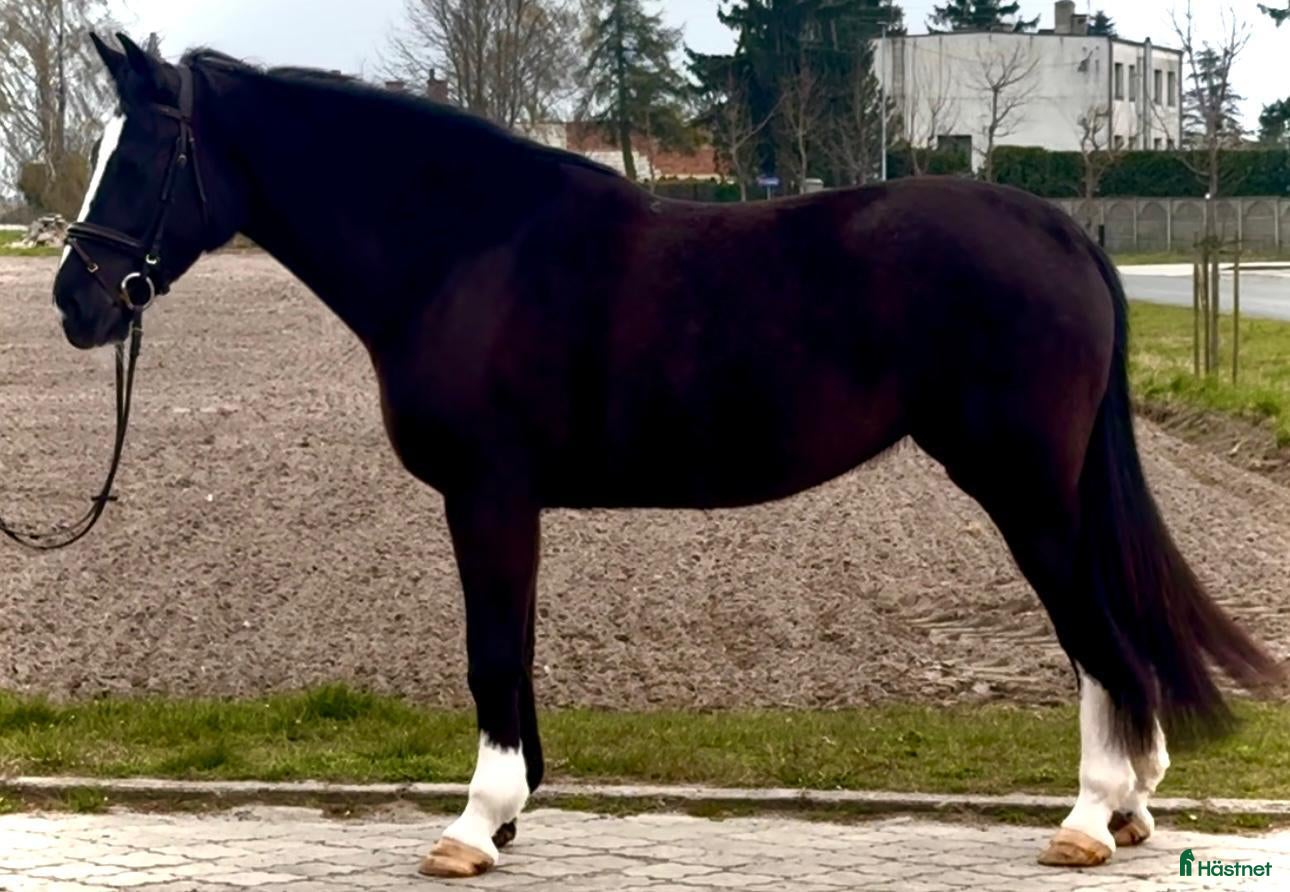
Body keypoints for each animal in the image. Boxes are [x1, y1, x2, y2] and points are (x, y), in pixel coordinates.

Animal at [53, 32, 1281, 880]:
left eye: (142, 158)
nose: (75, 301)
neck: (464, 252)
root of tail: (1062, 229)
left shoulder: (486, 497)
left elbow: (488, 653)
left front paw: (473, 825)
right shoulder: (511, 504)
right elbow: (515, 652)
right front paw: (513, 811)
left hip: (1022, 487)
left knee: (1096, 632)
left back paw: (1089, 815)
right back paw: (1129, 802)